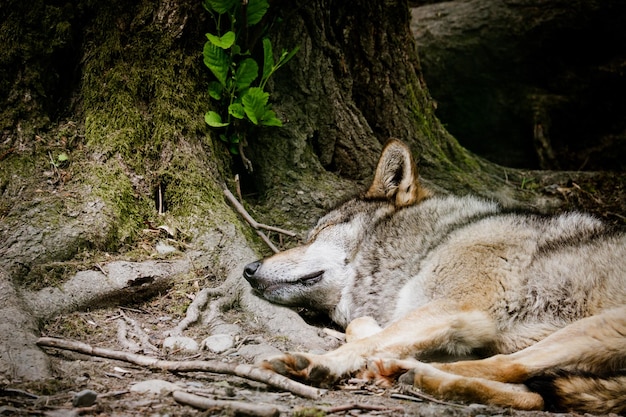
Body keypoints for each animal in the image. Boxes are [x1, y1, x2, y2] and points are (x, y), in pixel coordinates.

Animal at [243, 139, 624, 412]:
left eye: (317, 233)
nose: (248, 269)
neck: (432, 244)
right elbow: (363, 327)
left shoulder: (454, 309)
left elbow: (368, 338)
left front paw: (320, 362)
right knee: (531, 392)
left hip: (600, 325)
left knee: (510, 367)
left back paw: (397, 368)